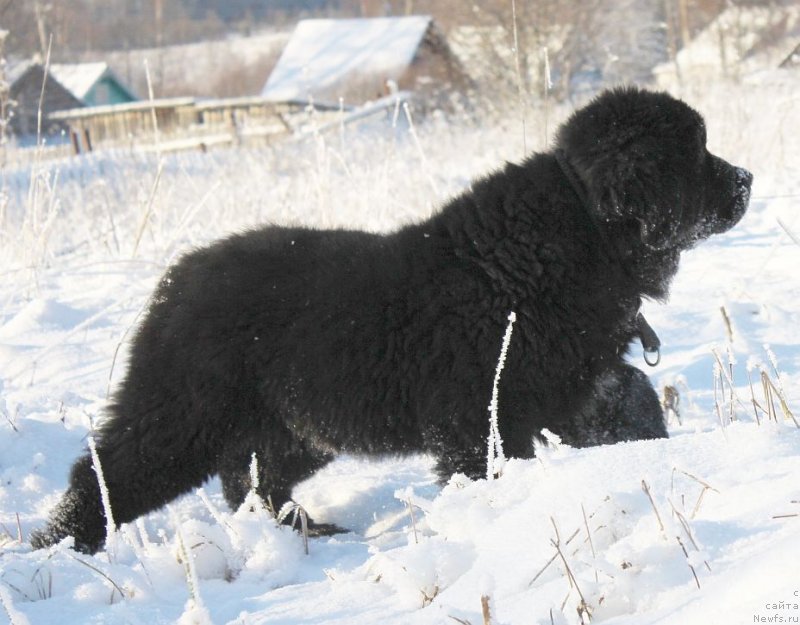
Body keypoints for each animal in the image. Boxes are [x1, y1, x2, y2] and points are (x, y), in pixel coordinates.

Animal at [34, 86, 752, 552]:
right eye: (696, 153)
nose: (746, 178)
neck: (582, 228)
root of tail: (175, 279)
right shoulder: (480, 412)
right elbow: (491, 468)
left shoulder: (558, 387)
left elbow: (620, 409)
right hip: (182, 412)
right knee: (105, 472)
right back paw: (59, 547)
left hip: (294, 426)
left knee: (250, 481)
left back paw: (302, 531)